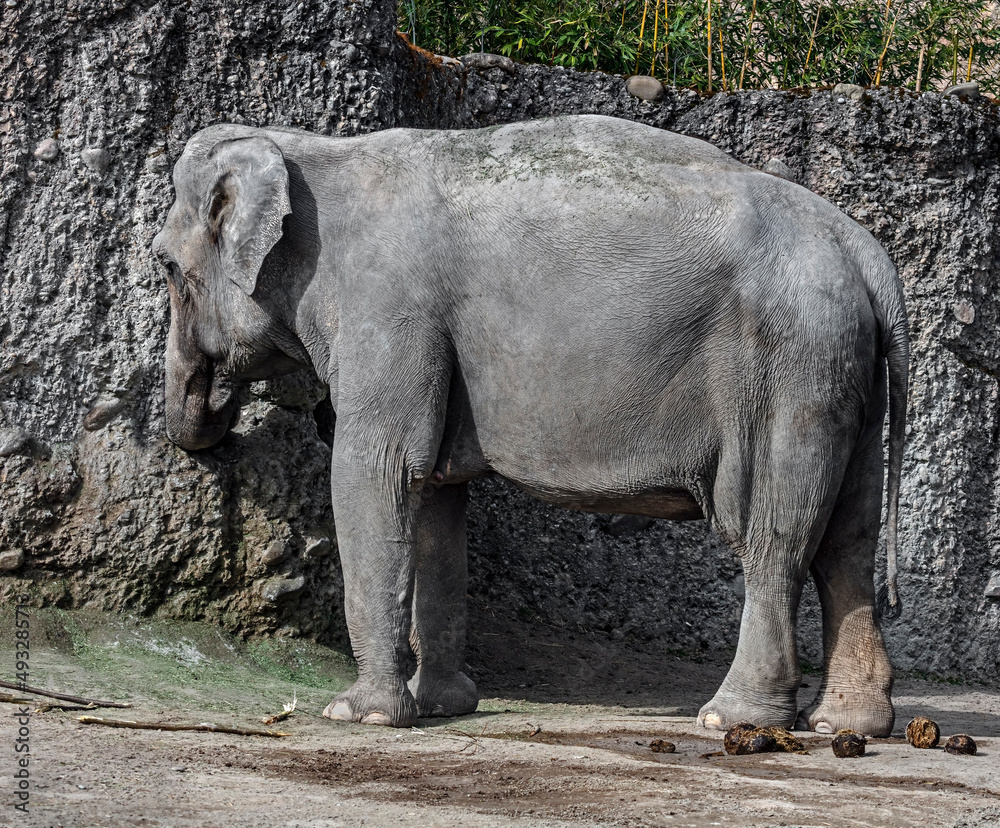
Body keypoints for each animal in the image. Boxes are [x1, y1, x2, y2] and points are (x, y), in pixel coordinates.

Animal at [152, 114, 909, 736]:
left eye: (165, 268)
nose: (219, 430)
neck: (311, 150)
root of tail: (864, 252)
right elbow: (434, 496)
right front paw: (442, 707)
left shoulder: (387, 312)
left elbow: (378, 472)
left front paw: (361, 714)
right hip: (844, 370)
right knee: (848, 539)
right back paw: (848, 725)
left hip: (791, 364)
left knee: (774, 537)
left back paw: (733, 720)